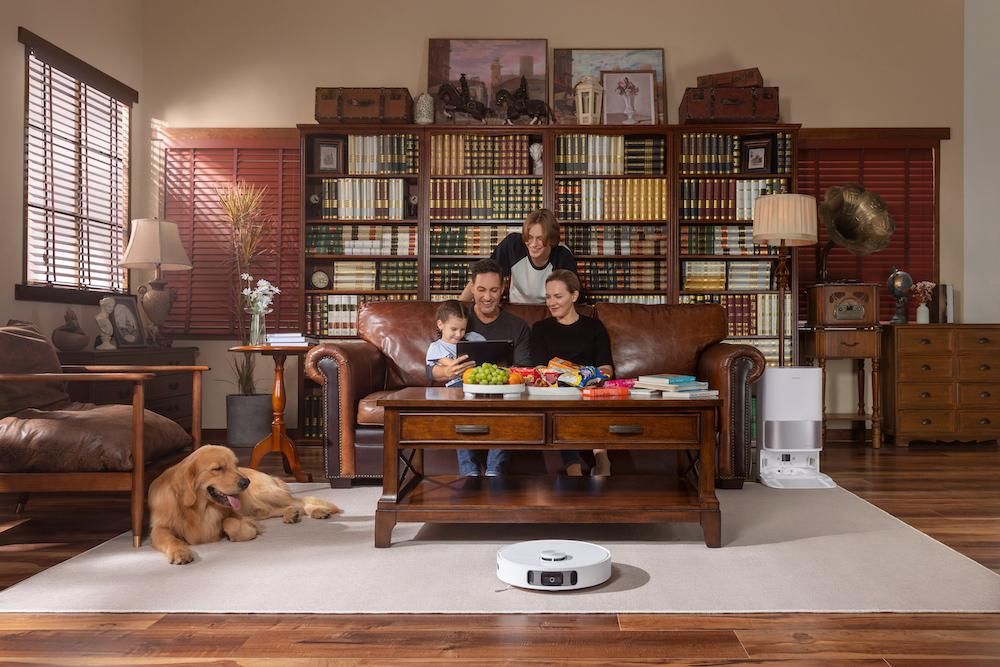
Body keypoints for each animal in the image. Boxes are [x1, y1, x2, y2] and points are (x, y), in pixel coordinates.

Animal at [146, 444, 338, 564]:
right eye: (217, 468)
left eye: (235, 465)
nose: (246, 482)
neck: (200, 509)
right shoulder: (160, 528)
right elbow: (170, 539)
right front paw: (180, 552)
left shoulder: (241, 516)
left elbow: (229, 522)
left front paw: (246, 533)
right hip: (262, 508)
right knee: (284, 507)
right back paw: (292, 514)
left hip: (266, 495)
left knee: (301, 500)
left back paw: (318, 510)